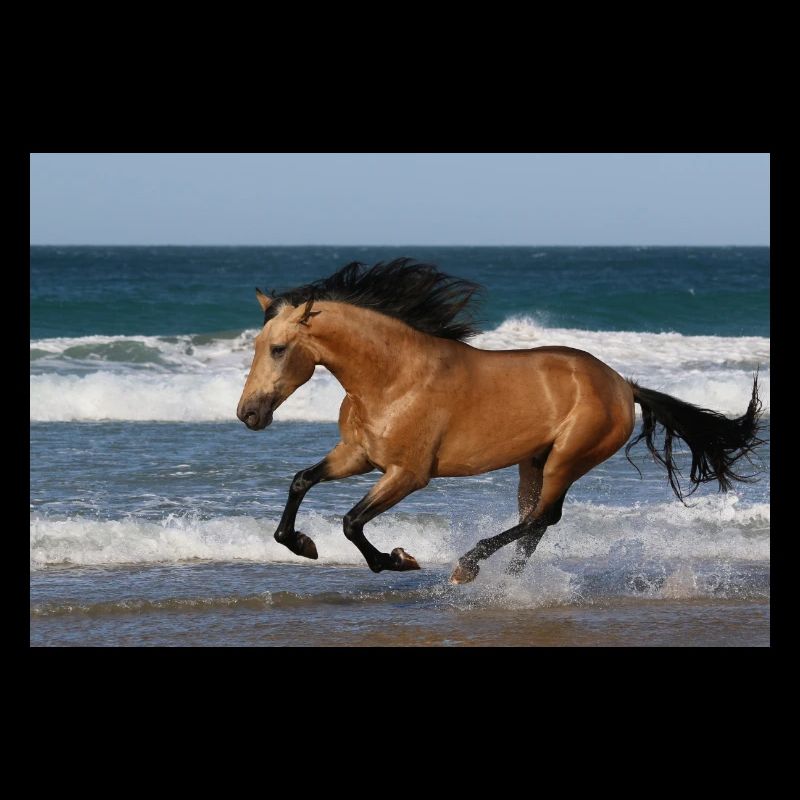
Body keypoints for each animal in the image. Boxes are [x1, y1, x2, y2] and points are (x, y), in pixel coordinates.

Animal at [237, 259, 763, 584]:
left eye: (278, 349)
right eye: (256, 344)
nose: (248, 414)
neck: (393, 379)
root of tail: (622, 384)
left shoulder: (408, 474)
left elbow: (350, 522)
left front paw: (398, 560)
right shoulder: (358, 456)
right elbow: (301, 481)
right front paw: (302, 543)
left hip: (568, 458)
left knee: (541, 518)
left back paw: (469, 568)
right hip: (534, 462)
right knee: (534, 523)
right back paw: (509, 585)